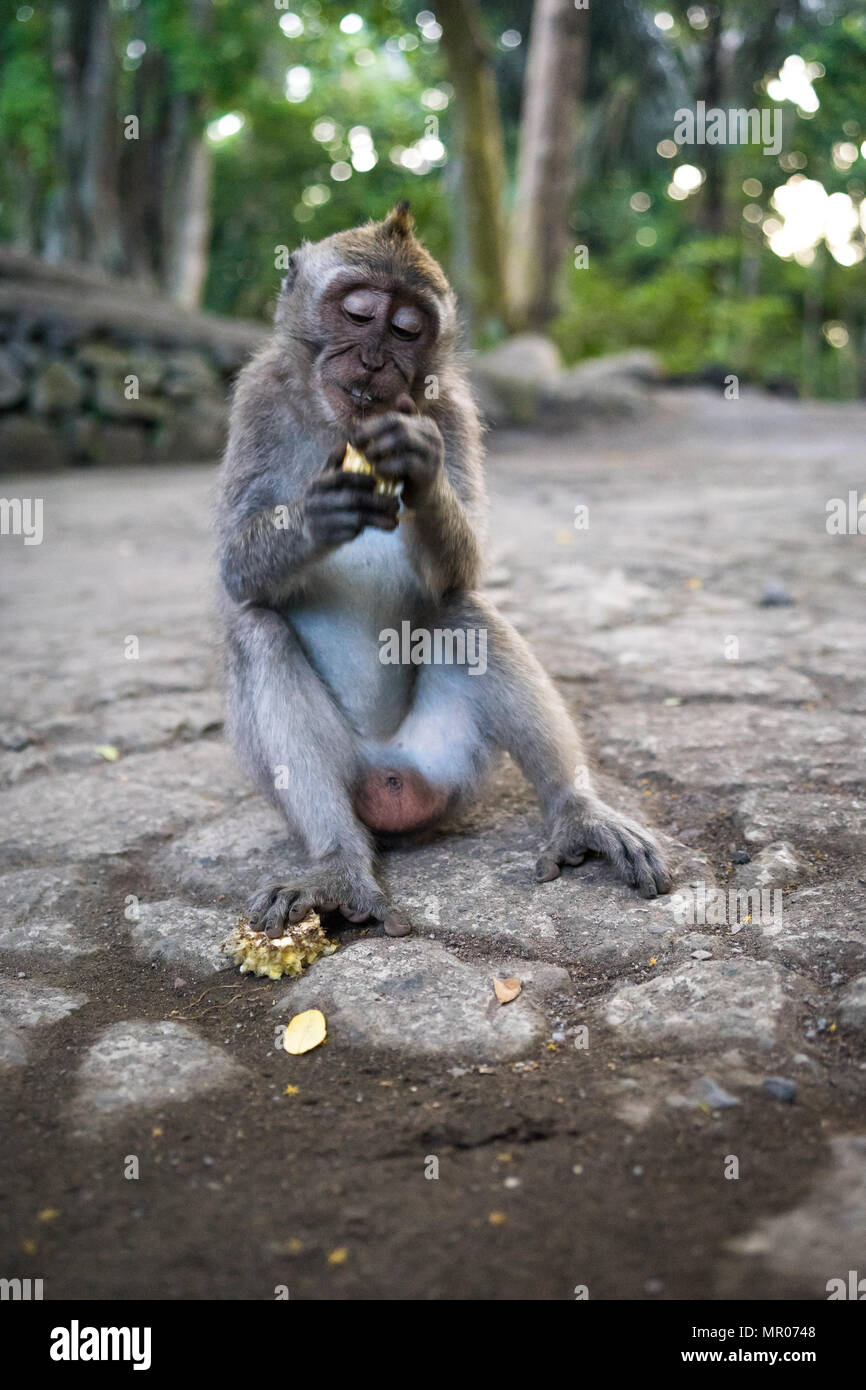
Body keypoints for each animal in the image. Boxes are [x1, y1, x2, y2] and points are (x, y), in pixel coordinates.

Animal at [216, 202, 671, 939]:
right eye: (357, 311)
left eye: (407, 327)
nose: (374, 359)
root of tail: (392, 777)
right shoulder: (256, 398)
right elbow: (235, 569)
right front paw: (320, 513)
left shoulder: (451, 408)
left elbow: (465, 573)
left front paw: (420, 472)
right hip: (343, 779)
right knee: (256, 629)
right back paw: (339, 864)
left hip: (451, 759)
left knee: (465, 613)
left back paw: (578, 812)